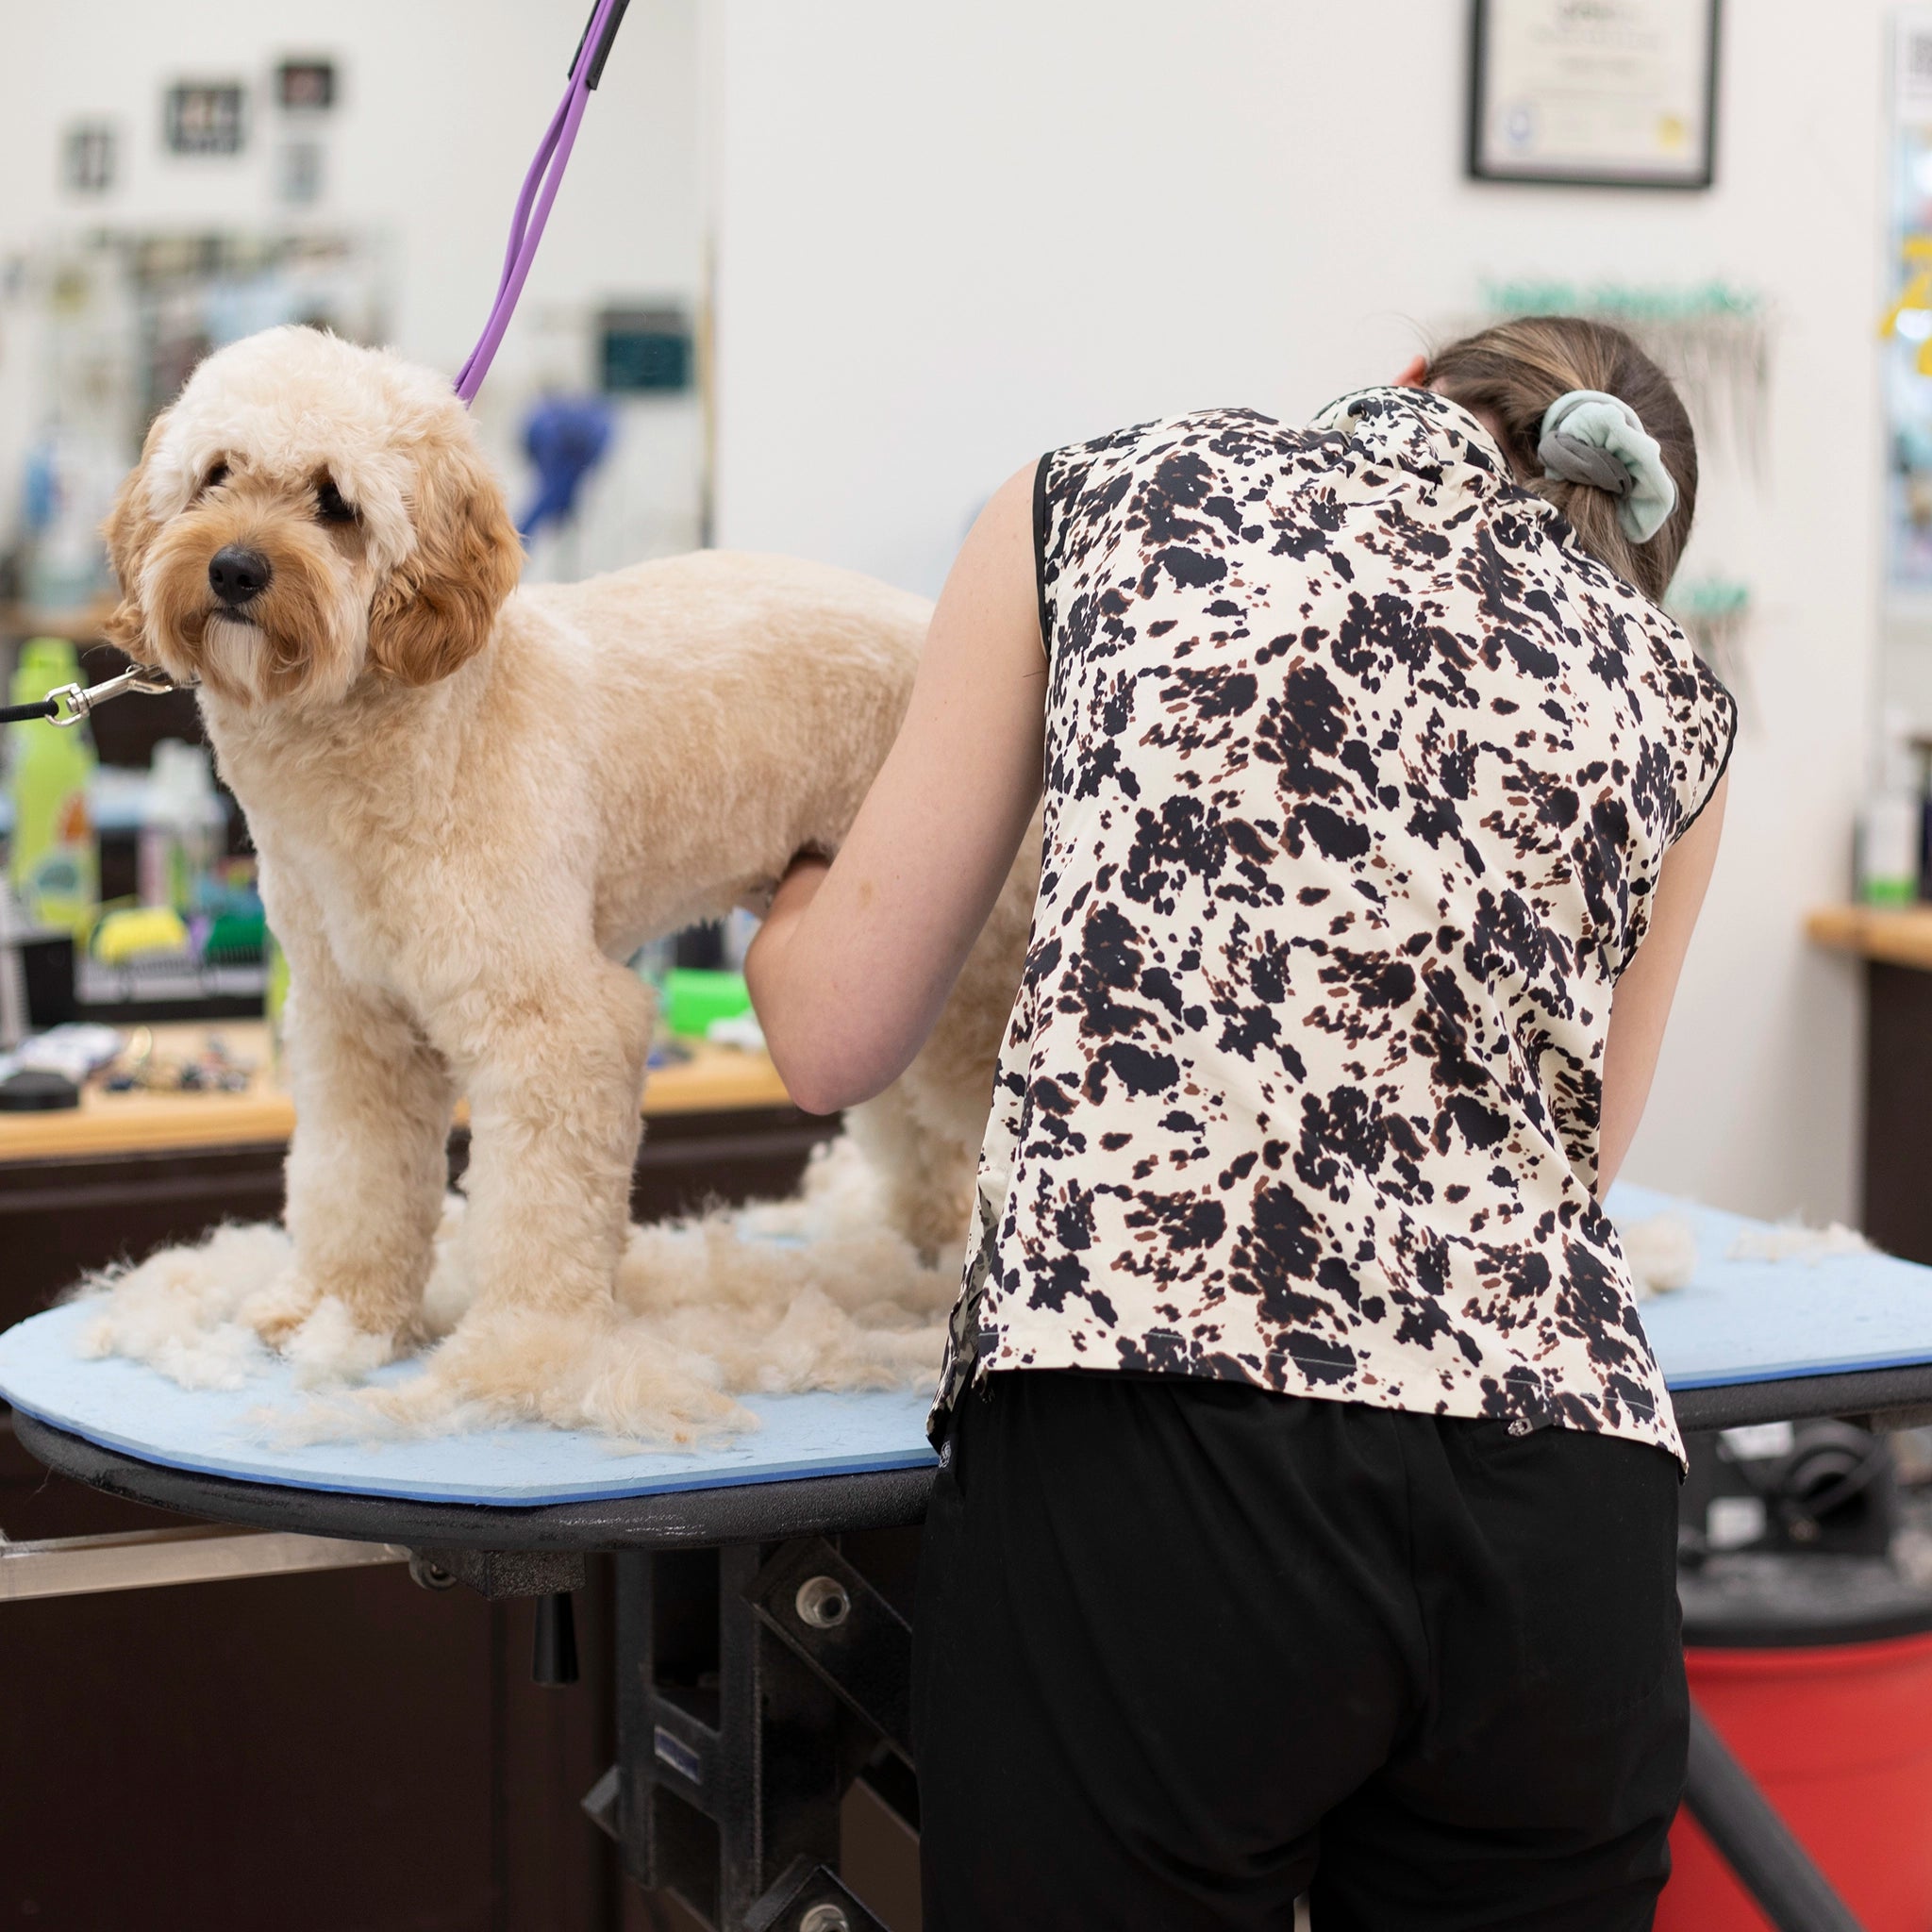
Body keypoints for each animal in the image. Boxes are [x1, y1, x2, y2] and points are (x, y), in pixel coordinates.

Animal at [100, 324, 1034, 1426]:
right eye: (215, 474)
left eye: (335, 502)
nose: (236, 567)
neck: (422, 725)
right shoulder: (355, 1024)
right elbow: (352, 1182)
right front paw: (338, 1310)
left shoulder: (556, 1026)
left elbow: (539, 1218)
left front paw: (526, 1361)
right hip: (885, 976)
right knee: (915, 1128)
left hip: (973, 984)